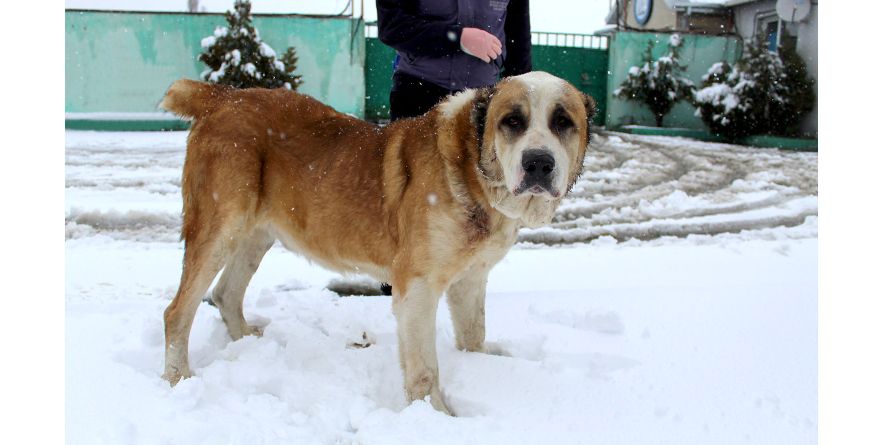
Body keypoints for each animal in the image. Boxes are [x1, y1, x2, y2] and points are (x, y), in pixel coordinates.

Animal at [163, 71, 600, 414]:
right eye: (512, 121)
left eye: (563, 122)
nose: (539, 163)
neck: (471, 170)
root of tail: (223, 96)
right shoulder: (418, 288)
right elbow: (424, 368)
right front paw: (435, 417)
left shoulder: (470, 280)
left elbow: (473, 333)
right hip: (220, 227)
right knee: (178, 311)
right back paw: (177, 378)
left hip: (257, 235)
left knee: (226, 293)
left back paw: (247, 345)